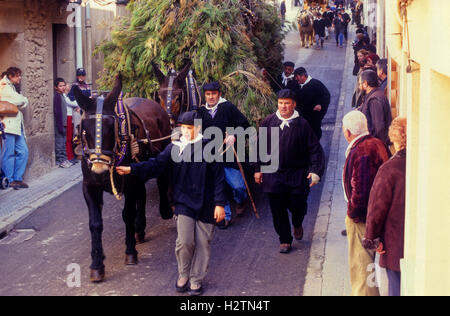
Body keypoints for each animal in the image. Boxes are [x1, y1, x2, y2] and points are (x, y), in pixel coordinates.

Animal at [73, 74, 171, 282]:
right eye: (84, 129)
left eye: (113, 127)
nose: (100, 171)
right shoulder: (90, 186)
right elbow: (95, 223)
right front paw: (97, 265)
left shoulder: (130, 182)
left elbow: (127, 214)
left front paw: (130, 252)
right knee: (142, 194)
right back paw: (140, 229)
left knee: (162, 177)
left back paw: (165, 210)